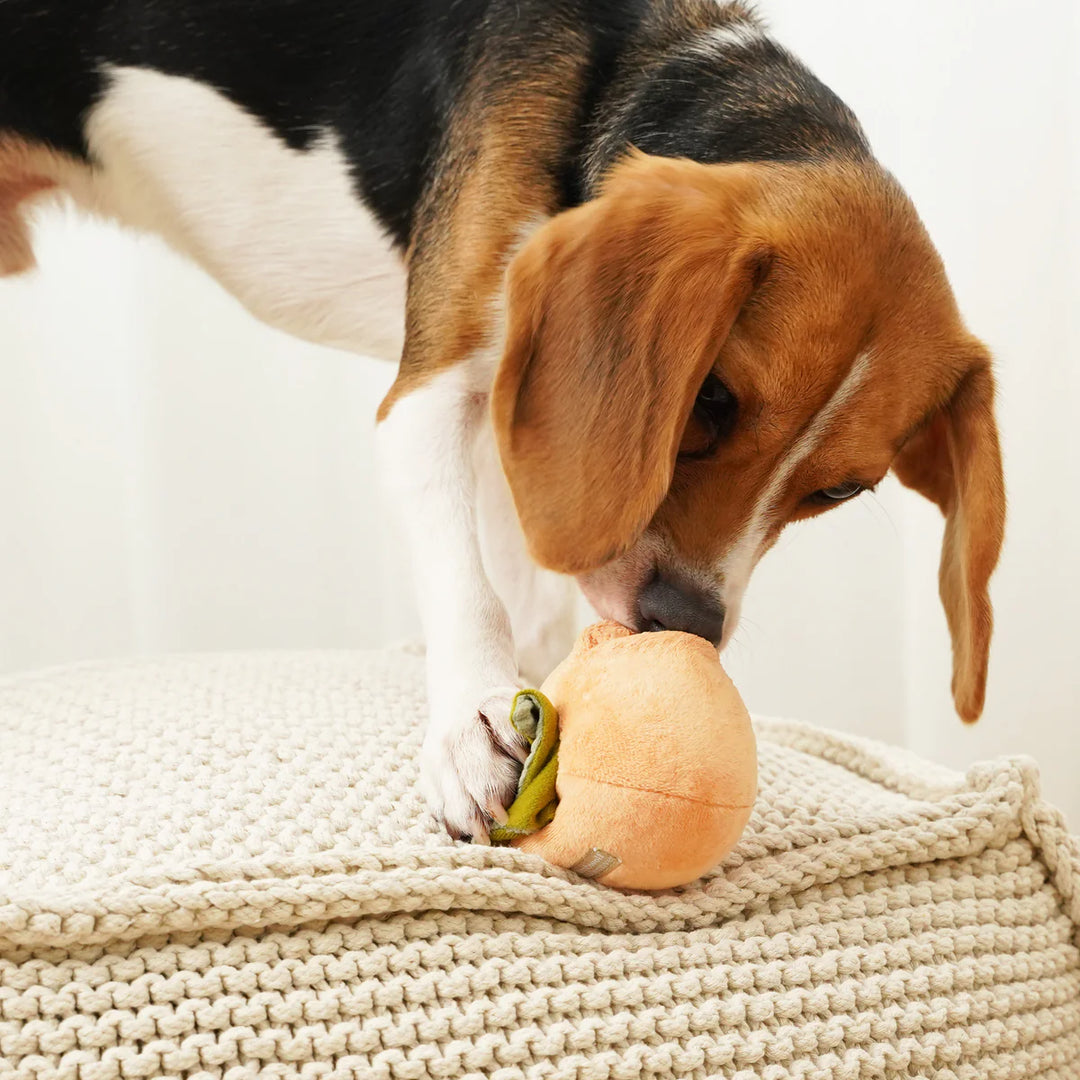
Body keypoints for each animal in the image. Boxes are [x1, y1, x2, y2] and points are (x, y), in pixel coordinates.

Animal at [4, 0, 1006, 833]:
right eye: (711, 400)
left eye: (840, 490)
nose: (683, 621)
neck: (636, 68)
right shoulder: (434, 392)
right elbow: (467, 581)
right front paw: (474, 724)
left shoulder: (518, 414)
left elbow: (530, 591)